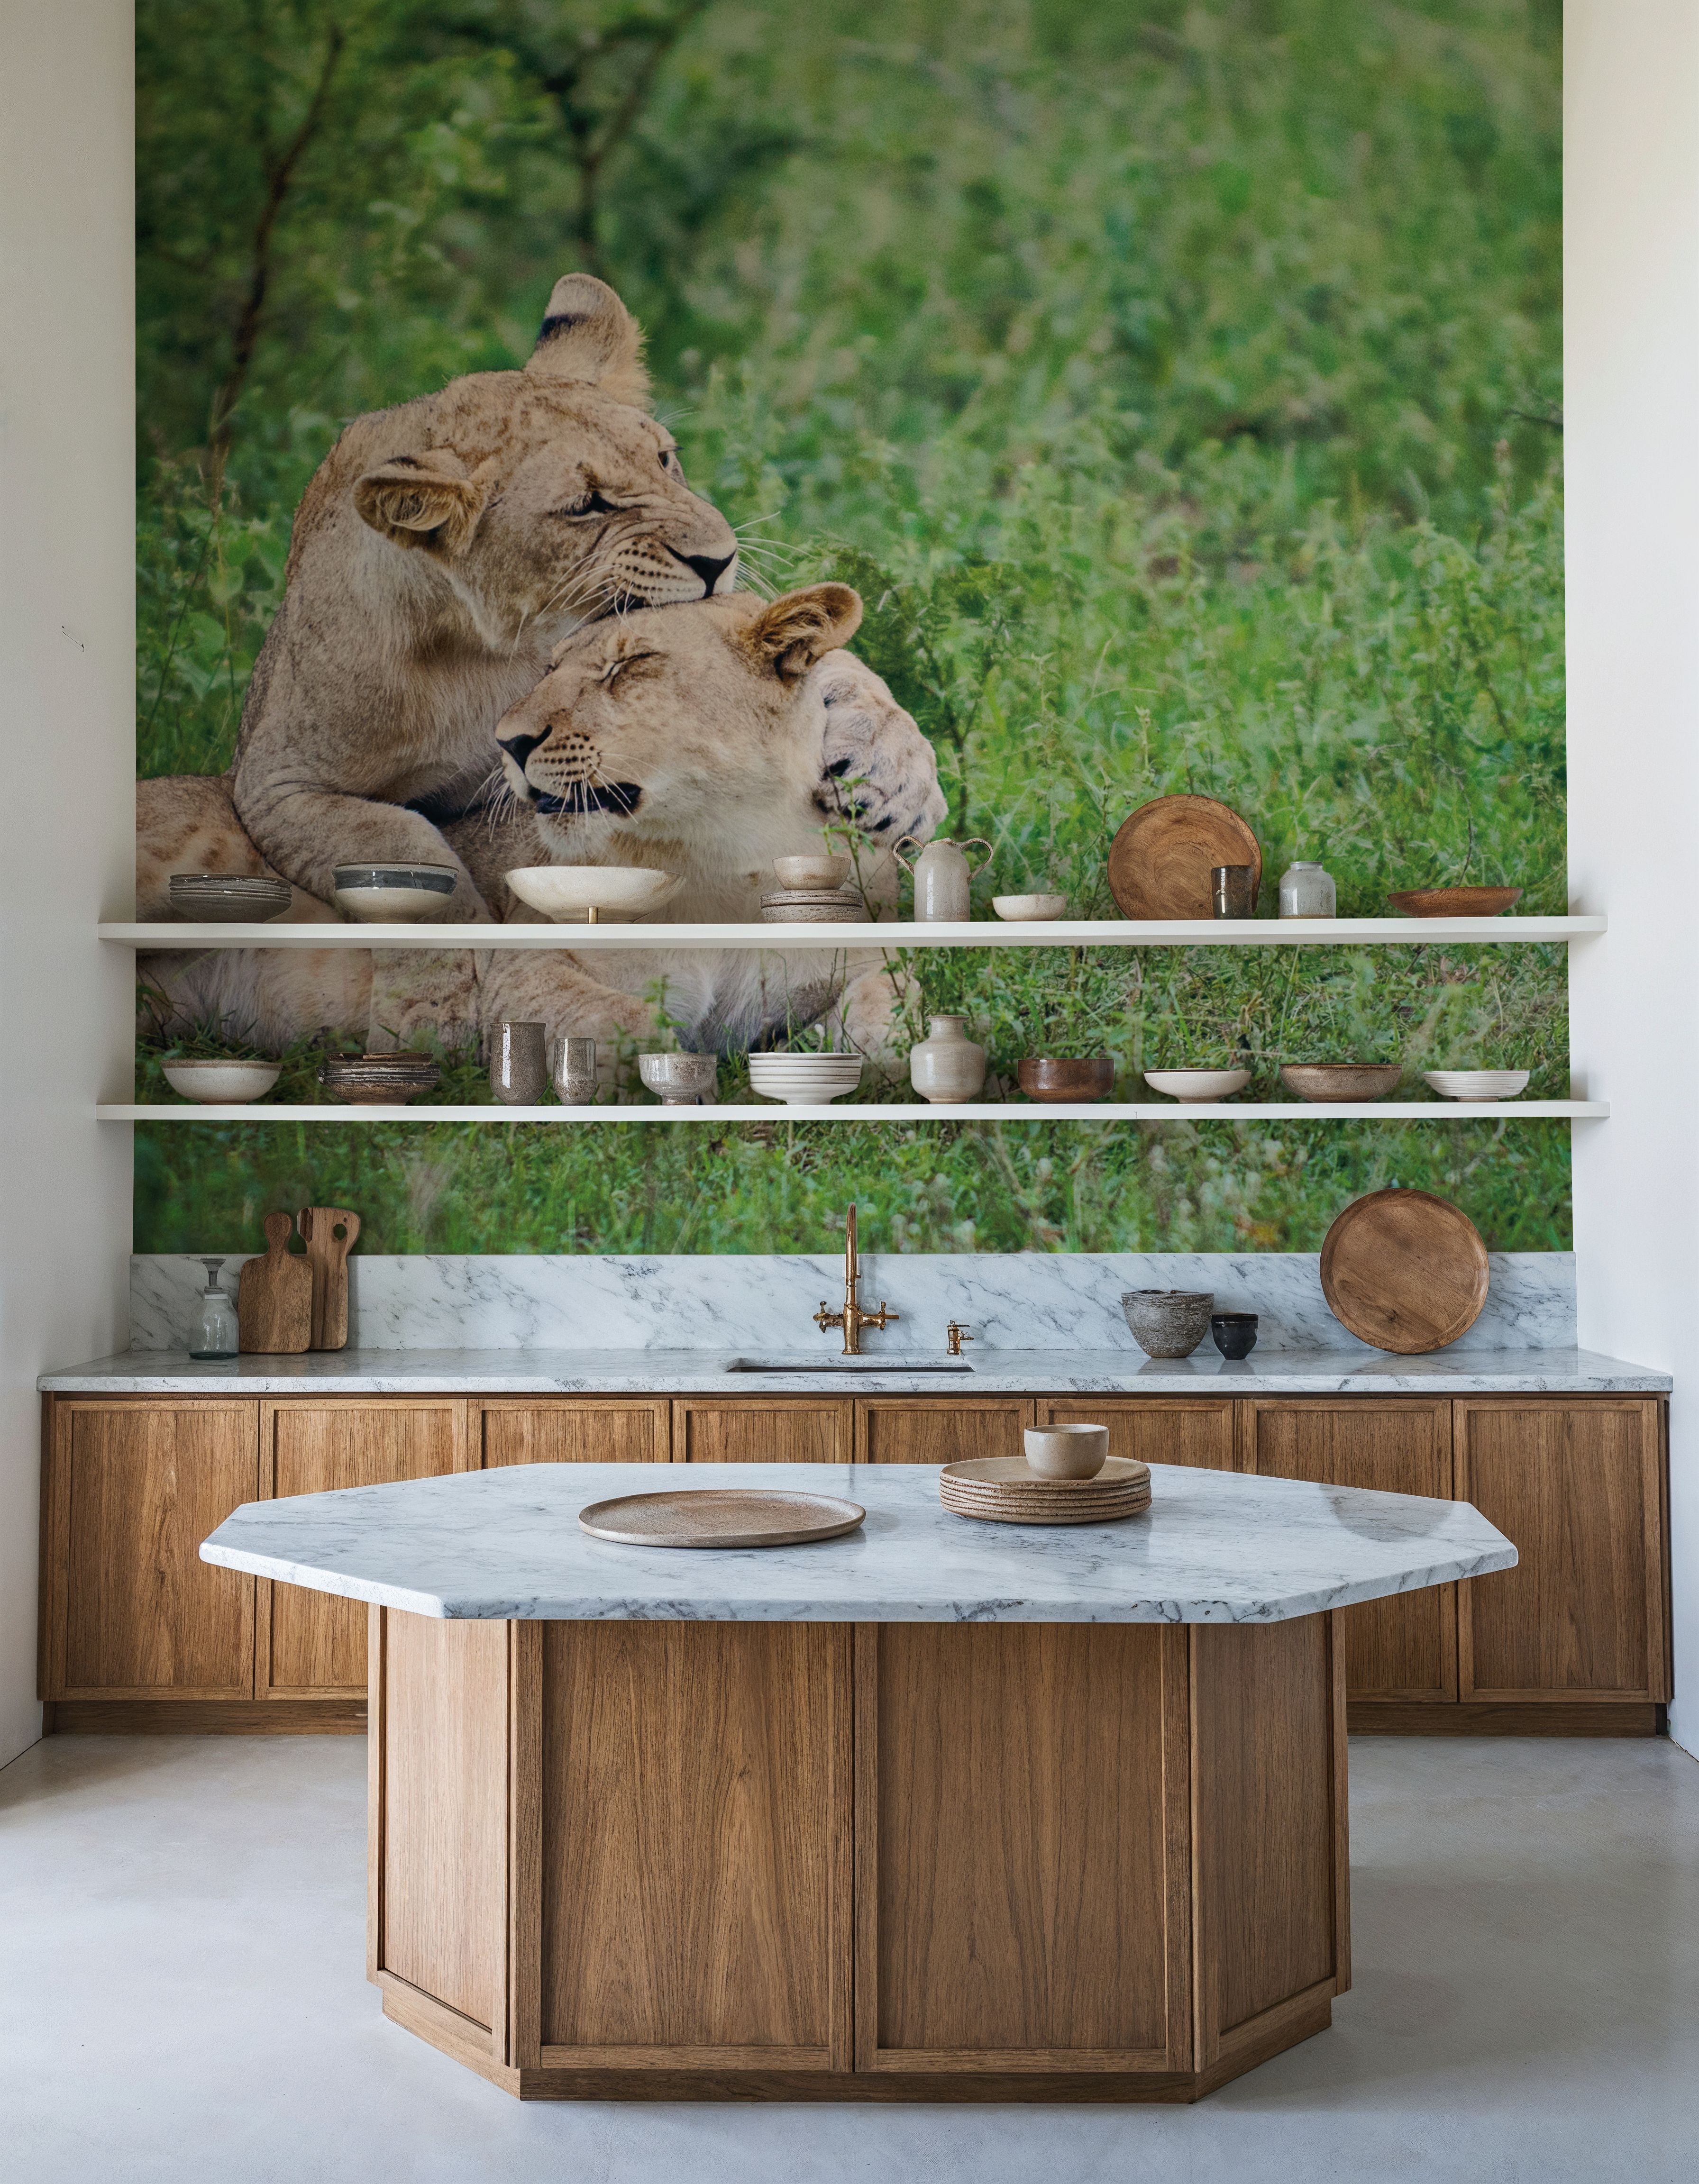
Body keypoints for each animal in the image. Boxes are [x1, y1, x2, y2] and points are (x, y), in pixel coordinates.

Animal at [139, 584, 915, 1071]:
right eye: (549, 667)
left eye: (628, 664)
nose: (508, 742)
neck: (727, 857)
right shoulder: (520, 974)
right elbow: (636, 1026)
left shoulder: (872, 952)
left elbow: (893, 1025)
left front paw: (801, 1051)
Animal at [222, 271, 944, 927]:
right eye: (587, 505)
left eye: (665, 458)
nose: (720, 560)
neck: (504, 639)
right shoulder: (278, 787)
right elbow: (402, 850)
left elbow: (843, 671)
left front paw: (895, 777)